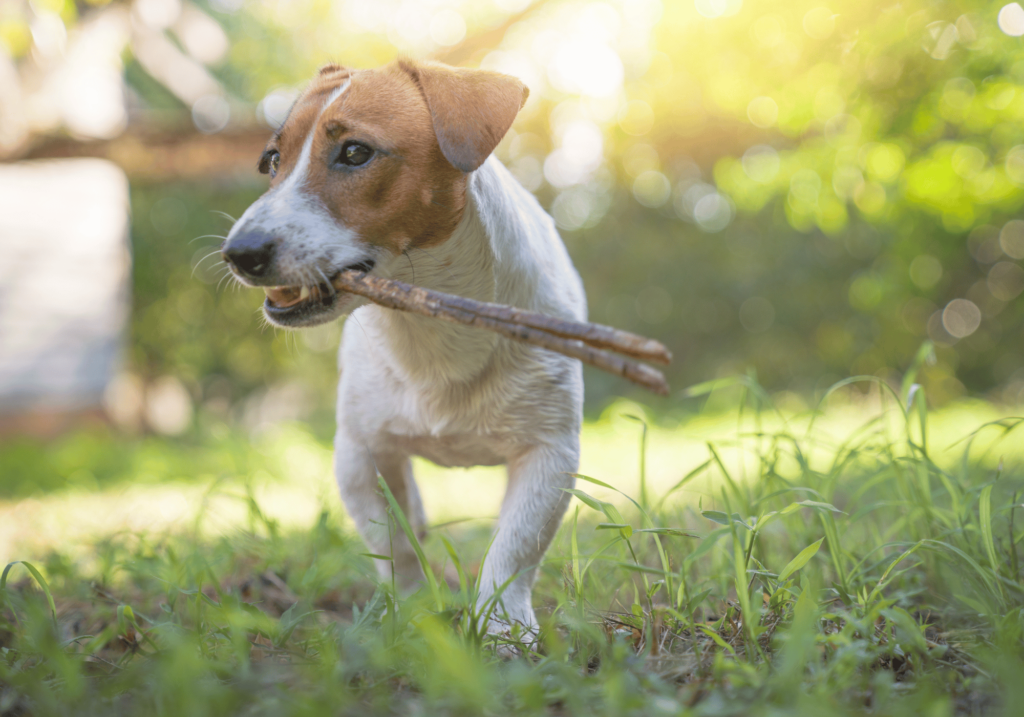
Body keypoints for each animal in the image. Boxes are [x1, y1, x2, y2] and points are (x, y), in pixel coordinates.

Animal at [223, 58, 589, 635]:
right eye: (272, 160)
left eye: (356, 152)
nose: (239, 253)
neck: (432, 323)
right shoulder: (360, 453)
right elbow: (393, 545)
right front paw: (412, 614)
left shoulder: (549, 453)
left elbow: (514, 550)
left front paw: (504, 631)